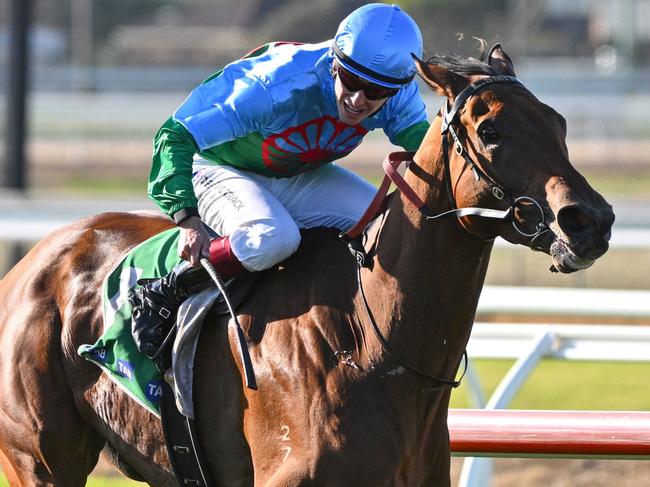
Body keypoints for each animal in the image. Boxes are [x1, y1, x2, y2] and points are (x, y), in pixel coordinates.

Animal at [0, 43, 612, 486]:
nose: (591, 221)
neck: (371, 340)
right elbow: (184, 127)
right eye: (490, 131)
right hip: (43, 459)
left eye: (558, 123)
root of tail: (28, 265)